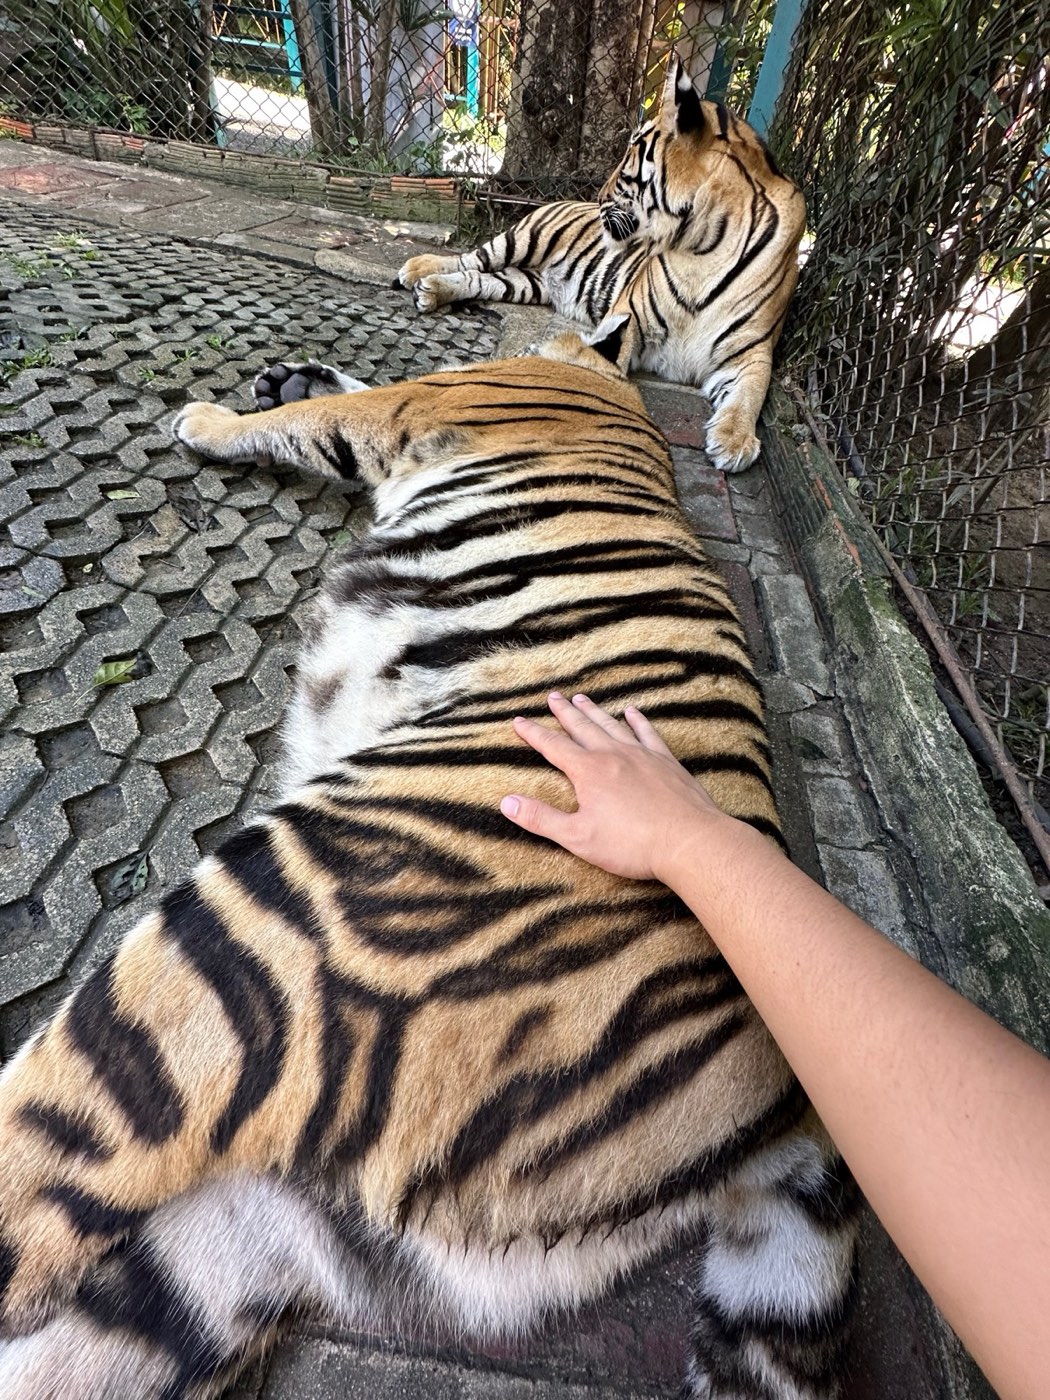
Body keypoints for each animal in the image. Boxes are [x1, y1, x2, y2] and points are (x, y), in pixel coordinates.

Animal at [0, 330, 857, 1400]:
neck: (596, 374)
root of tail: (784, 1101)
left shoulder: (417, 408)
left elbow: (323, 417)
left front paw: (215, 417)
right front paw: (285, 378)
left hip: (255, 948)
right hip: (270, 1232)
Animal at [396, 56, 806, 475]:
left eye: (631, 152)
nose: (599, 195)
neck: (702, 248)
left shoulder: (751, 349)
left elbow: (752, 390)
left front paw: (734, 440)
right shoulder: (631, 314)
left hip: (525, 282)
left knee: (478, 278)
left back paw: (431, 291)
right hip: (522, 239)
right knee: (468, 258)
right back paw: (416, 272)